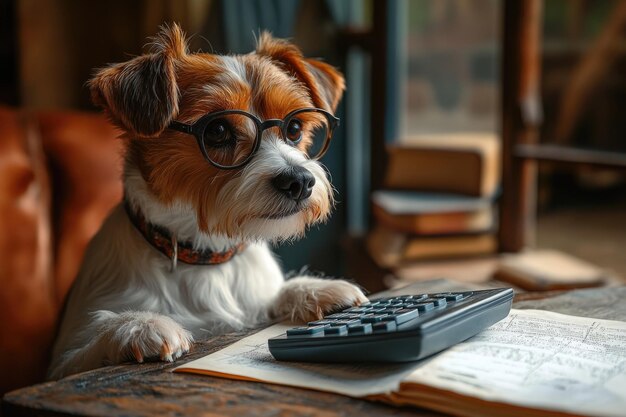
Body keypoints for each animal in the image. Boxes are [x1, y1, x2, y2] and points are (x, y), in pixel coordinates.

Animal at [48, 24, 366, 378]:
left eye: (294, 128)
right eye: (217, 130)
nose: (299, 182)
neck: (208, 254)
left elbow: (269, 299)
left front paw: (313, 289)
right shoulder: (62, 361)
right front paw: (139, 325)